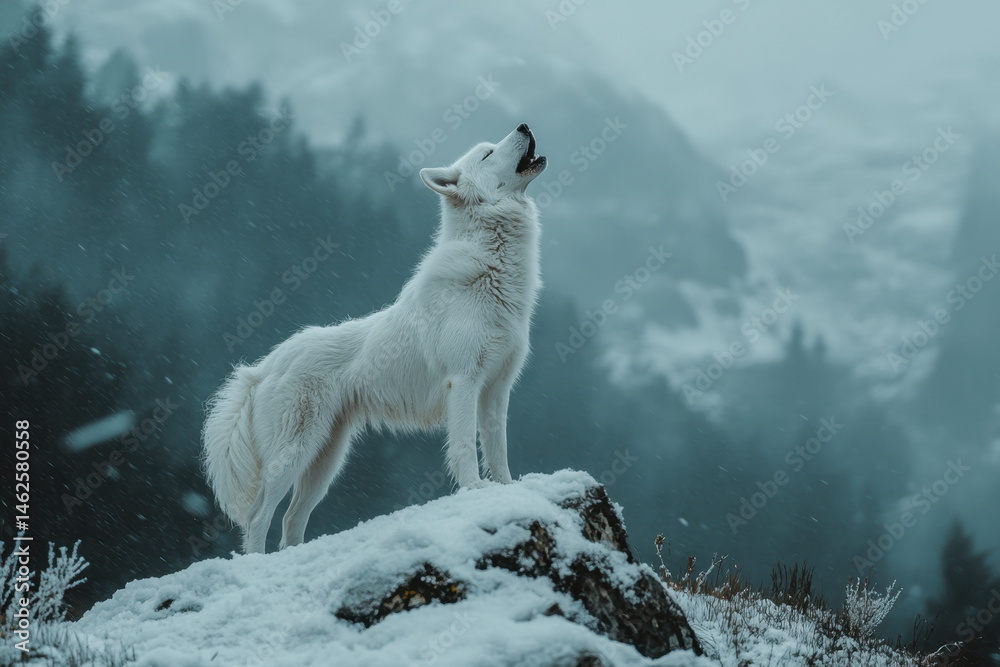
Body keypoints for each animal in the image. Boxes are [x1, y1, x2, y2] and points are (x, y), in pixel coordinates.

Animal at [202, 124, 547, 554]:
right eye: (486, 154)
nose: (524, 126)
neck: (492, 269)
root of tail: (261, 368)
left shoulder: (497, 390)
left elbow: (498, 450)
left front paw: (505, 487)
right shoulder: (465, 382)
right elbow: (467, 447)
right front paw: (475, 489)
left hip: (325, 462)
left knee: (290, 520)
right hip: (293, 456)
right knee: (258, 516)